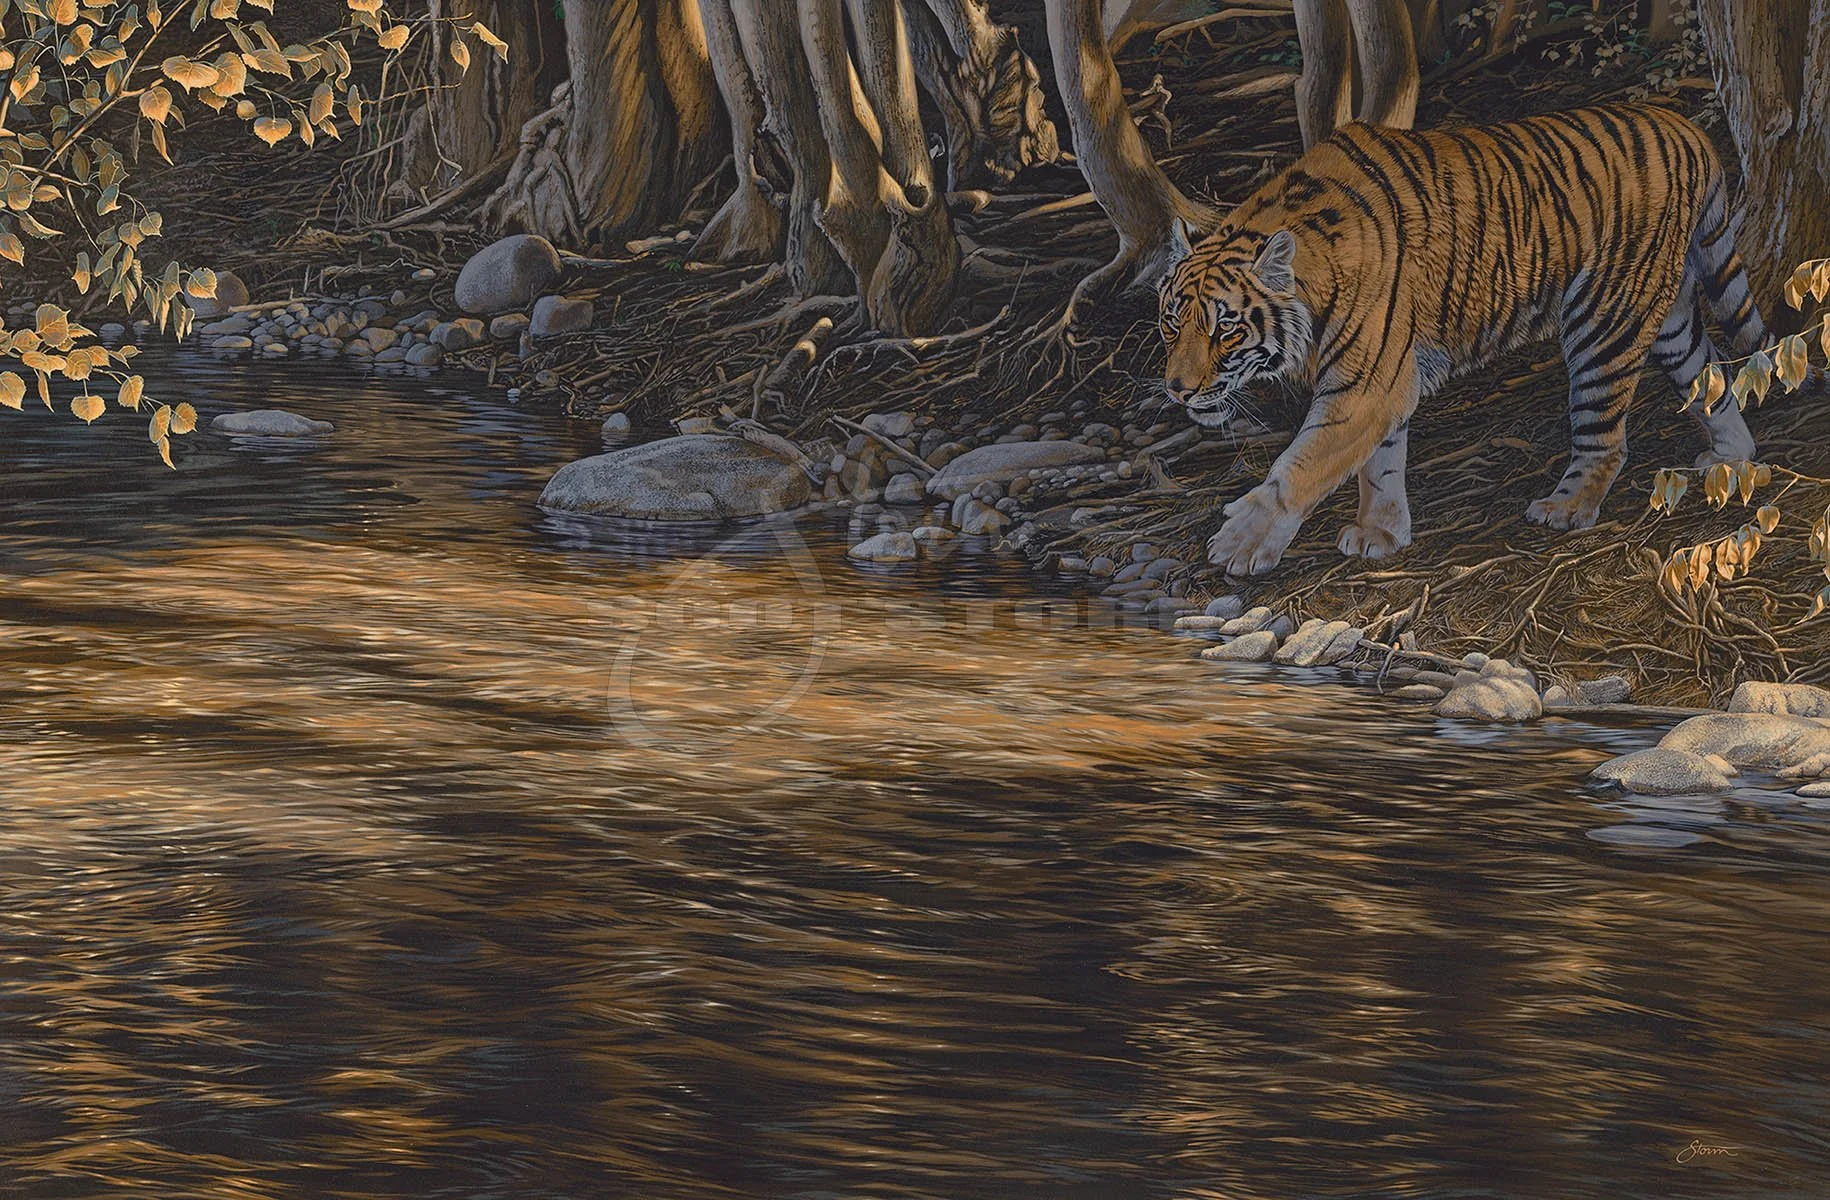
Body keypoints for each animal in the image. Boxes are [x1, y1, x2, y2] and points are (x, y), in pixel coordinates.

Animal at [1157, 102, 1764, 577]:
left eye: (1225, 327)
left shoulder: (1364, 383)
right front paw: (1381, 534)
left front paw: (1243, 542)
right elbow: (1379, 463)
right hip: (1667, 314)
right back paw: (1730, 456)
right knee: (1710, 375)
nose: (1177, 390)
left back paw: (1565, 508)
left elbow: (1304, 463)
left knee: (1605, 434)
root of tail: (1683, 125)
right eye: (1171, 324)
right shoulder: (1384, 379)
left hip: (1604, 319)